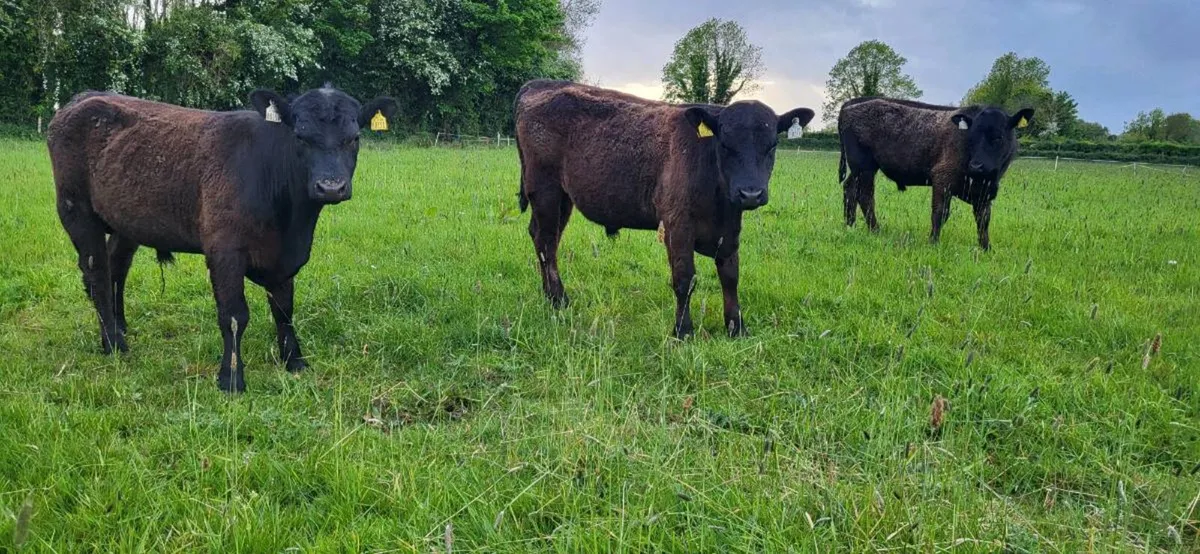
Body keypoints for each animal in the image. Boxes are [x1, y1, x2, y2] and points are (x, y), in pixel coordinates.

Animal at [47, 85, 397, 392]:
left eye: (355, 138)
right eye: (300, 136)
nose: (330, 186)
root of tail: (83, 98)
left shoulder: (284, 258)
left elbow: (284, 310)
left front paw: (294, 361)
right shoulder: (224, 249)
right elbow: (233, 315)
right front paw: (231, 378)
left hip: (126, 222)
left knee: (117, 269)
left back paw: (120, 328)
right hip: (76, 210)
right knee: (98, 274)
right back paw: (113, 343)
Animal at [514, 80, 814, 338]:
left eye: (772, 145)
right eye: (725, 144)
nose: (750, 193)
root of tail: (540, 84)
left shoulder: (729, 230)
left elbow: (730, 277)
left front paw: (736, 327)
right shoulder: (677, 225)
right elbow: (684, 279)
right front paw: (683, 330)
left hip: (564, 198)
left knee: (543, 238)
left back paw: (549, 295)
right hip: (545, 190)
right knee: (546, 243)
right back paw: (559, 299)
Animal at [837, 96, 1034, 250]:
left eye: (998, 137)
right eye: (971, 137)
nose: (977, 166)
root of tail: (851, 105)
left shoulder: (986, 193)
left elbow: (983, 220)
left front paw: (986, 248)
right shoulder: (941, 179)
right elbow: (940, 213)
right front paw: (933, 243)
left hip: (859, 170)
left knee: (850, 189)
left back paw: (850, 225)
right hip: (865, 168)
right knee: (865, 197)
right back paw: (875, 230)